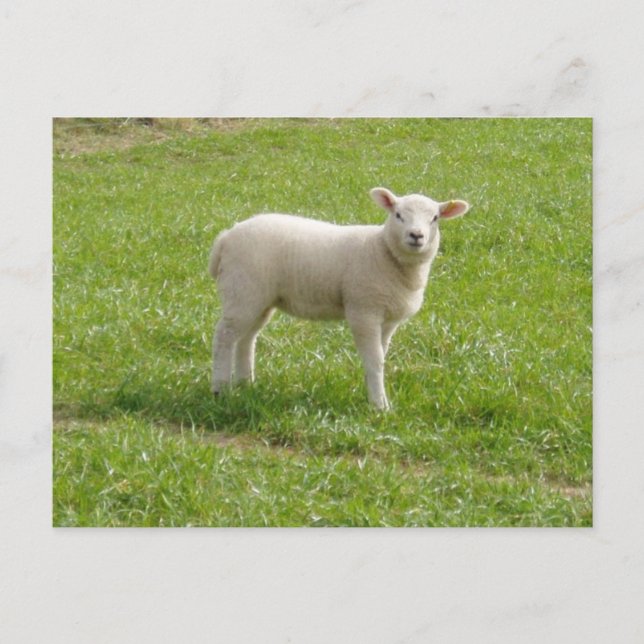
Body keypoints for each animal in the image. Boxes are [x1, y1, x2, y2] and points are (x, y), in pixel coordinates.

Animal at [208, 187, 469, 410]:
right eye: (398, 215)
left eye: (435, 218)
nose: (416, 235)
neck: (382, 251)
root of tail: (226, 237)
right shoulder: (363, 311)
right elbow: (375, 360)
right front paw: (380, 406)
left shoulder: (388, 320)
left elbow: (381, 356)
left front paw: (374, 396)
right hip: (242, 291)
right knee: (224, 336)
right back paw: (220, 389)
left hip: (259, 298)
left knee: (246, 338)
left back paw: (246, 384)